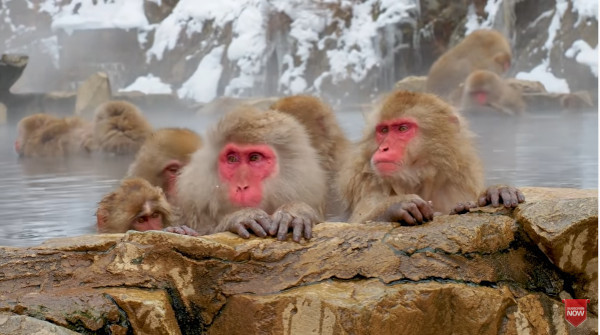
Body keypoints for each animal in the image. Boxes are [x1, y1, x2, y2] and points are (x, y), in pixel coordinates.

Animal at [338, 90, 524, 224]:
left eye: (403, 128)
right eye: (383, 130)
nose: (383, 148)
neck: (419, 178)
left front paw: (496, 191)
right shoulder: (369, 185)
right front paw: (395, 207)